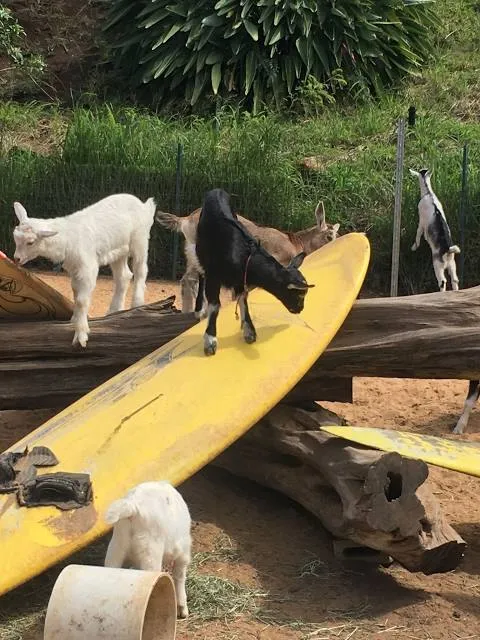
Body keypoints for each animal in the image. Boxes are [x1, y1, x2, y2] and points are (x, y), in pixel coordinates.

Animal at [12, 194, 155, 347]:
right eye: (15, 238)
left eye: (30, 242)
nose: (16, 259)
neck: (67, 238)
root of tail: (144, 205)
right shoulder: (74, 269)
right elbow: (75, 294)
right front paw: (74, 319)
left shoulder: (88, 268)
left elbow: (82, 300)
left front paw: (81, 335)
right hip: (119, 251)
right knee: (123, 276)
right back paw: (114, 311)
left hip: (140, 239)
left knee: (140, 270)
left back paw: (137, 304)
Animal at [104, 481, 192, 619]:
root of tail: (133, 506)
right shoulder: (183, 552)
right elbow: (180, 576)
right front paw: (183, 610)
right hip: (150, 552)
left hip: (116, 547)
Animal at [194, 188, 314, 356]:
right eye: (299, 294)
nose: (300, 309)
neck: (245, 256)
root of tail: (217, 191)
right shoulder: (214, 276)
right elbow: (215, 305)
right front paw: (210, 340)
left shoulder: (241, 281)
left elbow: (243, 300)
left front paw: (249, 331)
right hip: (200, 247)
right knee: (199, 272)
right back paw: (199, 309)